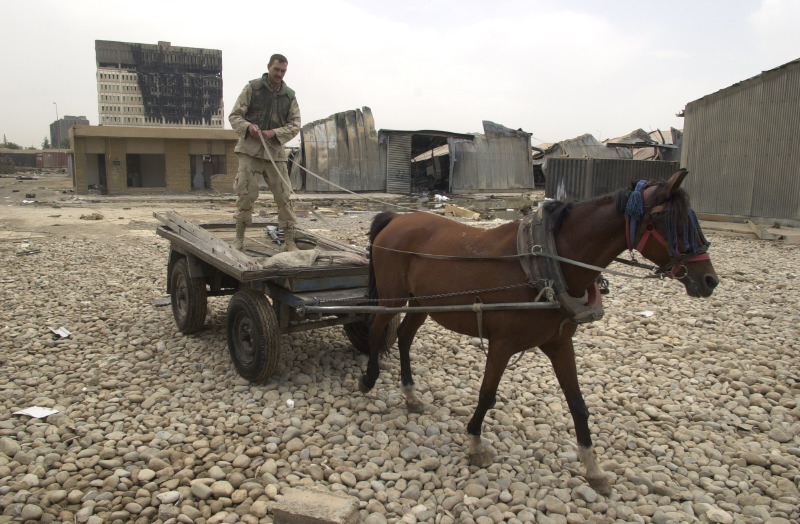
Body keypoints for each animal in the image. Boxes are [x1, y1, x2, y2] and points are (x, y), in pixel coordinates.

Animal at [360, 169, 720, 496]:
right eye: (668, 220)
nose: (709, 280)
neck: (546, 265)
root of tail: (396, 219)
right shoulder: (502, 344)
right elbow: (487, 394)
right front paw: (475, 443)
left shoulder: (560, 344)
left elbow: (577, 403)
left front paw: (594, 469)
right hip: (392, 297)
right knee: (377, 329)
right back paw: (369, 379)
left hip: (421, 303)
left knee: (405, 337)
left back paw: (410, 395)